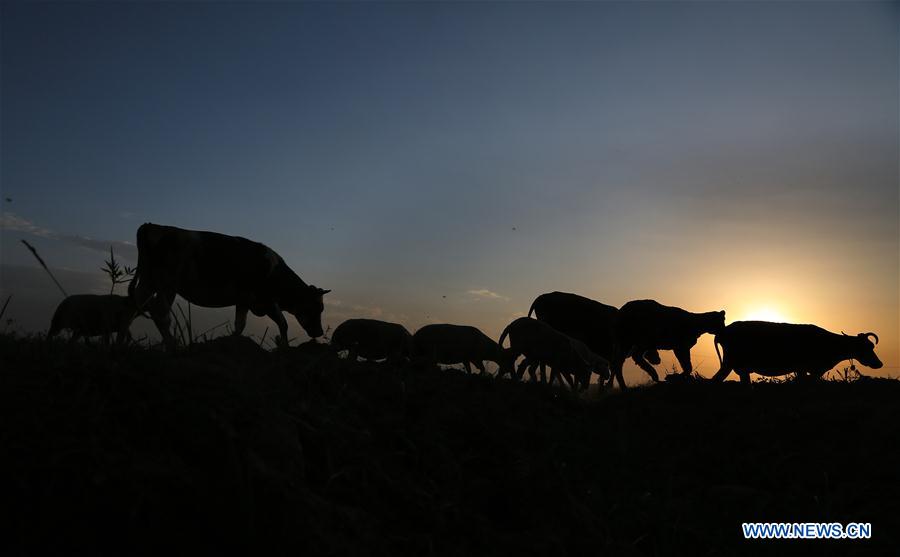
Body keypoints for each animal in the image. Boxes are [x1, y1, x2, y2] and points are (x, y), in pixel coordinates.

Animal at [130, 223, 330, 348]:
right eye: (315, 308)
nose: (320, 331)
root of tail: (152, 226)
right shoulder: (265, 300)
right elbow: (283, 323)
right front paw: (285, 346)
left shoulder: (245, 301)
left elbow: (240, 324)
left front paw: (233, 340)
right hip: (165, 284)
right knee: (160, 313)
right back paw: (173, 345)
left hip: (150, 283)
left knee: (133, 307)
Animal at [528, 294, 660, 388]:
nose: (658, 359)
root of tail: (540, 297)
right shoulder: (613, 351)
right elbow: (613, 369)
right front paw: (606, 387)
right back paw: (546, 383)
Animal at [708, 320, 884, 384]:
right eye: (867, 347)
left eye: (871, 346)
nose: (879, 363)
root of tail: (723, 331)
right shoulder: (806, 369)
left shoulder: (807, 370)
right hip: (730, 364)